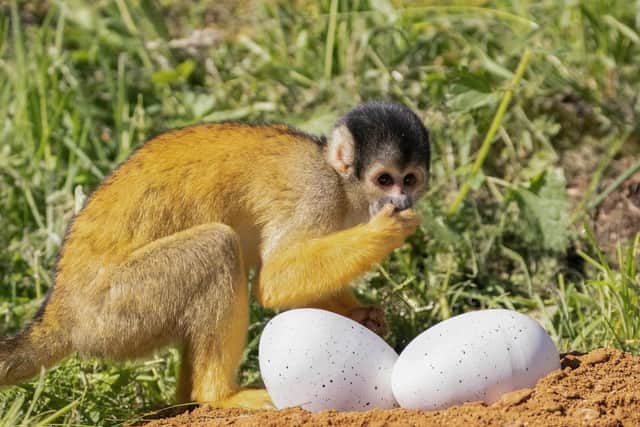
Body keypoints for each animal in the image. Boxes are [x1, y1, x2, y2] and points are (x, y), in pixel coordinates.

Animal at [1, 100, 430, 408]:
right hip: (116, 310)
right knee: (217, 246)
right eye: (384, 179)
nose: (402, 201)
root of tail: (60, 313)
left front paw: (361, 313)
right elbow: (274, 282)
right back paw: (218, 395)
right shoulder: (317, 194)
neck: (343, 185)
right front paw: (386, 231)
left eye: (410, 179)